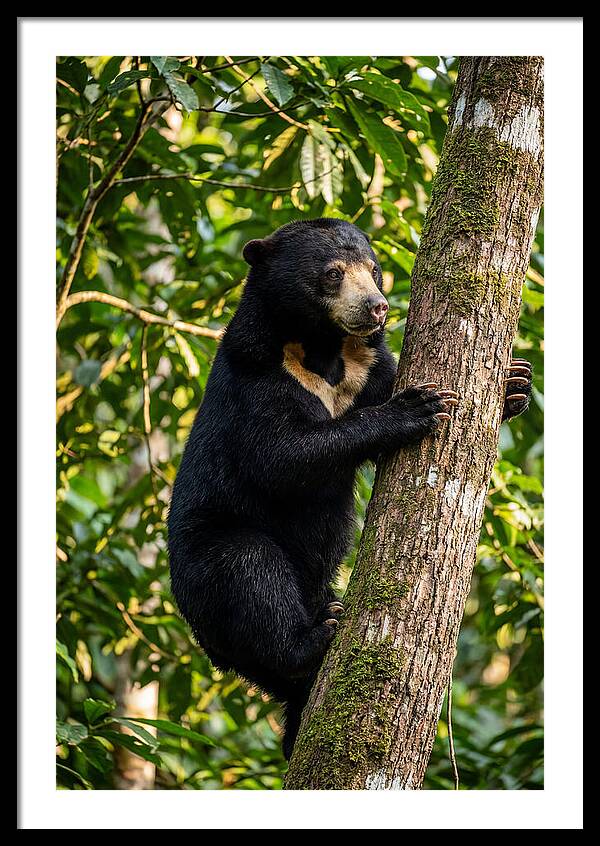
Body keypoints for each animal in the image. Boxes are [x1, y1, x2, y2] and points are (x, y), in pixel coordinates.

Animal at [167, 218, 532, 760]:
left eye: (375, 270)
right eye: (333, 273)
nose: (377, 306)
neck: (322, 349)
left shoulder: (367, 366)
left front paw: (514, 383)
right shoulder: (256, 376)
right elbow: (281, 456)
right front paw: (417, 407)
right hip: (206, 560)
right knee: (248, 570)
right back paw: (317, 635)